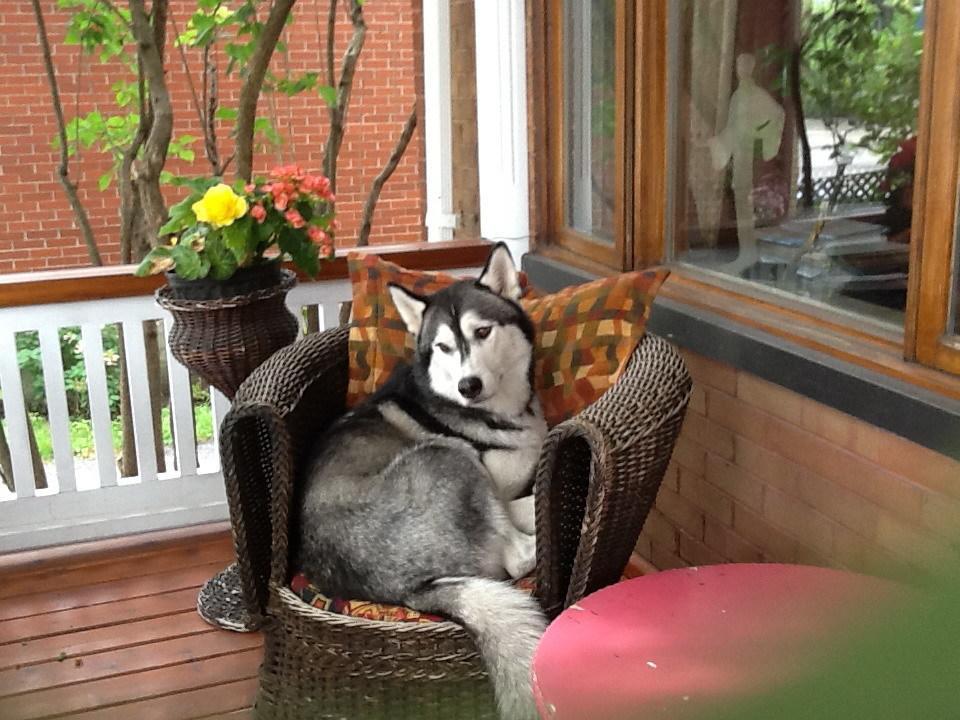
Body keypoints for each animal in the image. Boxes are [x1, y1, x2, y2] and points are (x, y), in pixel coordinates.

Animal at [292, 245, 548, 716]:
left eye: (482, 331)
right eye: (443, 346)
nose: (468, 385)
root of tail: (405, 591)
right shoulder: (498, 481)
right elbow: (522, 503)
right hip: (445, 453)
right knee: (520, 556)